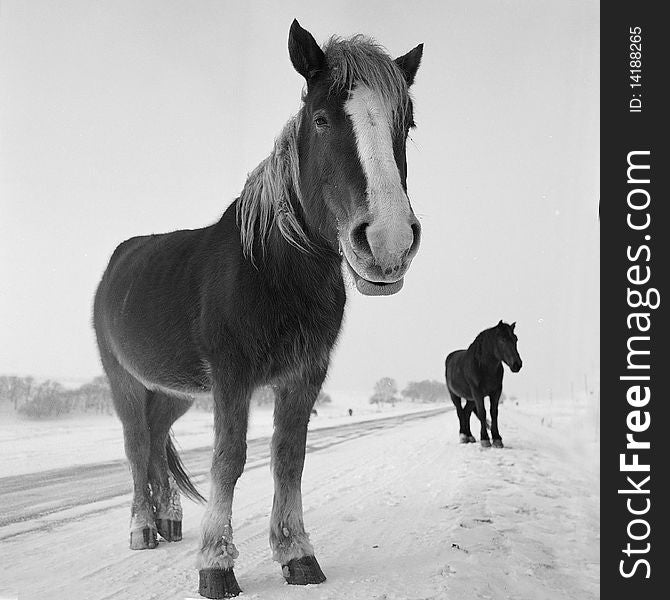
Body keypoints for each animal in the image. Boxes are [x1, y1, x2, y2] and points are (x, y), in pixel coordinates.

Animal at [94, 21, 426, 596]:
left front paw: (297, 554)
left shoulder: (304, 375)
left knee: (156, 441)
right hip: (125, 382)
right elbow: (229, 460)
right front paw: (216, 564)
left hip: (174, 391)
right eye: (320, 118)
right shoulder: (233, 377)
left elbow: (288, 458)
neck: (270, 271)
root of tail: (115, 267)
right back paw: (142, 528)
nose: (388, 242)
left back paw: (169, 518)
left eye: (405, 125)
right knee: (137, 447)